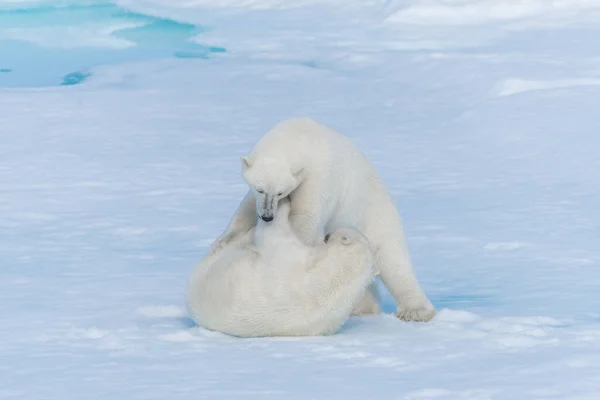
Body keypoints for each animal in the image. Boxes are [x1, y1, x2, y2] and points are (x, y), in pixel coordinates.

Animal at [211, 116, 436, 322]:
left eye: (280, 192)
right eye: (260, 188)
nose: (267, 217)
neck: (298, 136)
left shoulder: (318, 177)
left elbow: (306, 218)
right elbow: (247, 208)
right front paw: (222, 242)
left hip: (375, 217)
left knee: (393, 261)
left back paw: (416, 311)